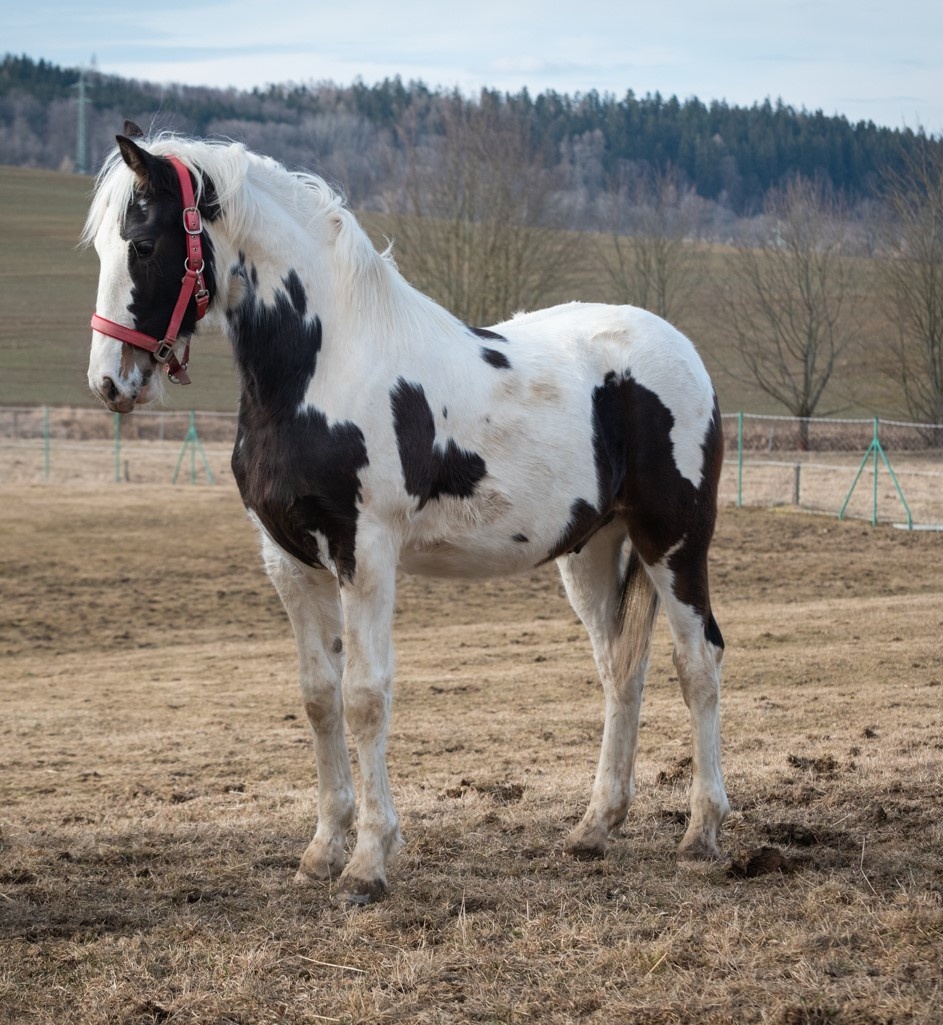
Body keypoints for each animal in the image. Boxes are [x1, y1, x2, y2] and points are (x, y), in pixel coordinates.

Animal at [84, 128, 729, 906]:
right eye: (102, 248)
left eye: (144, 244)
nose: (110, 382)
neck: (324, 366)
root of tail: (681, 353)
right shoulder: (289, 562)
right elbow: (318, 698)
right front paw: (321, 851)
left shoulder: (365, 556)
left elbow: (364, 698)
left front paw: (367, 864)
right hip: (594, 551)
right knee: (620, 670)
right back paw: (594, 828)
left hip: (674, 539)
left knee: (696, 663)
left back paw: (701, 833)